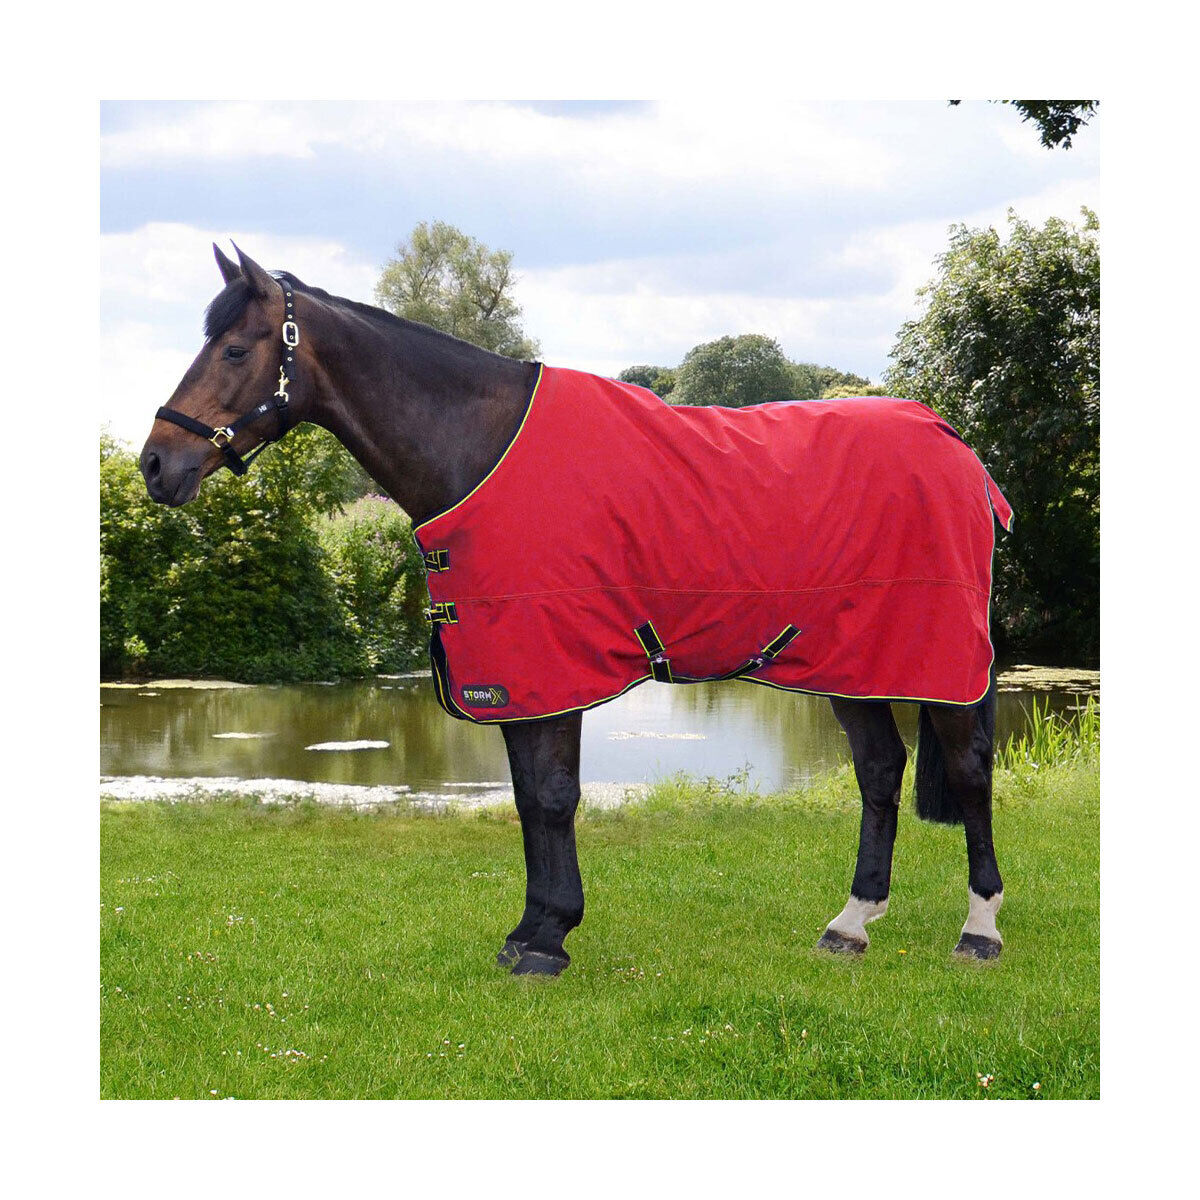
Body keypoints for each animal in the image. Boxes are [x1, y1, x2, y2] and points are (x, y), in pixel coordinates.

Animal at [138, 243, 1008, 977]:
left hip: (939, 661)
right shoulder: (512, 672)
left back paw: (979, 931)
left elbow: (553, 797)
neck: (480, 447)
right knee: (880, 769)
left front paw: (547, 942)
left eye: (236, 349)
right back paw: (850, 924)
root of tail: (951, 441)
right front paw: (532, 930)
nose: (155, 463)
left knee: (967, 771)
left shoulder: (549, 662)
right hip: (849, 660)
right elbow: (530, 798)